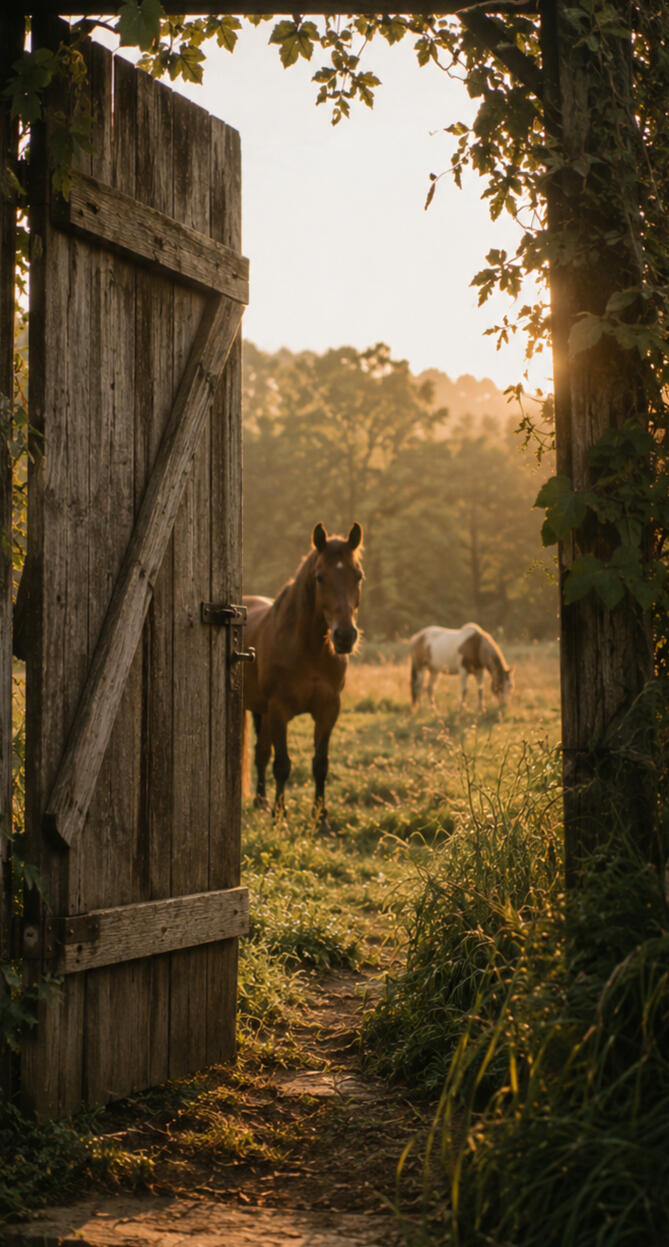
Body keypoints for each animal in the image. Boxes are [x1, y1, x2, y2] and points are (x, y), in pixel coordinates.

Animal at [243, 521, 364, 832]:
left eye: (358, 576)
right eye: (320, 577)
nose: (344, 637)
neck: (308, 650)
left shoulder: (328, 710)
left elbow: (320, 765)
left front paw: (320, 819)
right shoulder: (279, 710)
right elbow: (282, 765)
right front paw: (279, 817)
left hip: (262, 712)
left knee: (261, 753)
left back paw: (261, 802)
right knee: (263, 755)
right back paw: (264, 805)